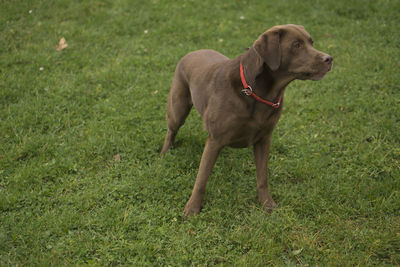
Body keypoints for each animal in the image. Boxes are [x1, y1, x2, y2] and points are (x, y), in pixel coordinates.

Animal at [161, 24, 332, 218]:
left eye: (311, 42)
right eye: (296, 45)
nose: (329, 58)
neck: (260, 92)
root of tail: (191, 52)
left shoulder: (264, 138)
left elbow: (262, 177)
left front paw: (267, 204)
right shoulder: (215, 140)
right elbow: (201, 179)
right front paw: (192, 209)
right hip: (178, 108)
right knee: (171, 129)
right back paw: (164, 153)